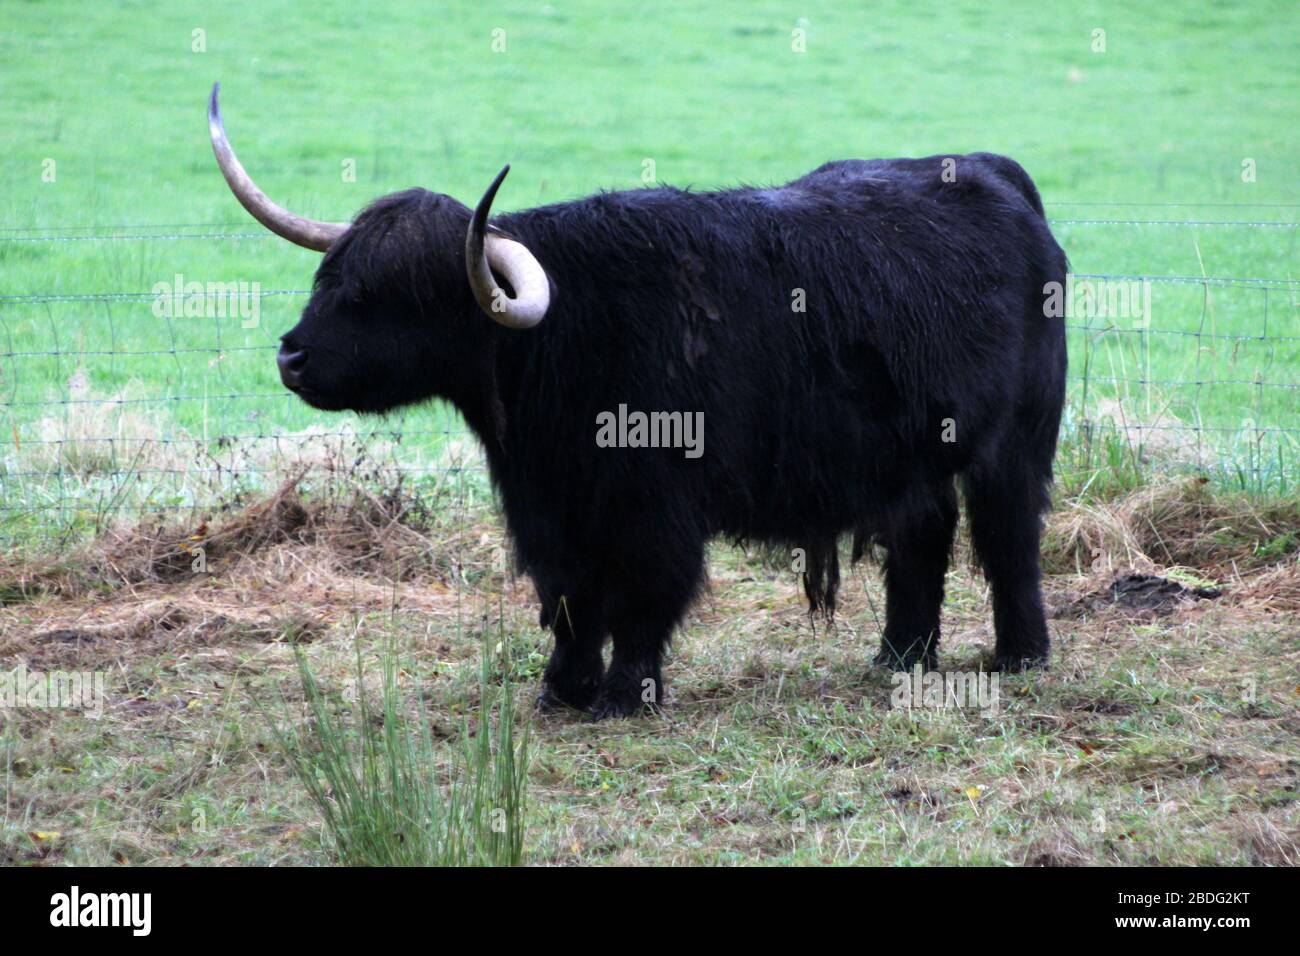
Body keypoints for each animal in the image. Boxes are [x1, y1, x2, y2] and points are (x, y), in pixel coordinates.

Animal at [207, 83, 1068, 718]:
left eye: (394, 295)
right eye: (332, 275)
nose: (291, 355)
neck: (568, 339)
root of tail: (989, 171)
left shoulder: (656, 507)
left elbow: (644, 595)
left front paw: (626, 694)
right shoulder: (546, 508)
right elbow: (568, 598)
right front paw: (561, 690)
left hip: (1017, 443)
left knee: (1007, 536)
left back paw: (1021, 655)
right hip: (914, 458)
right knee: (925, 534)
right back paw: (899, 656)